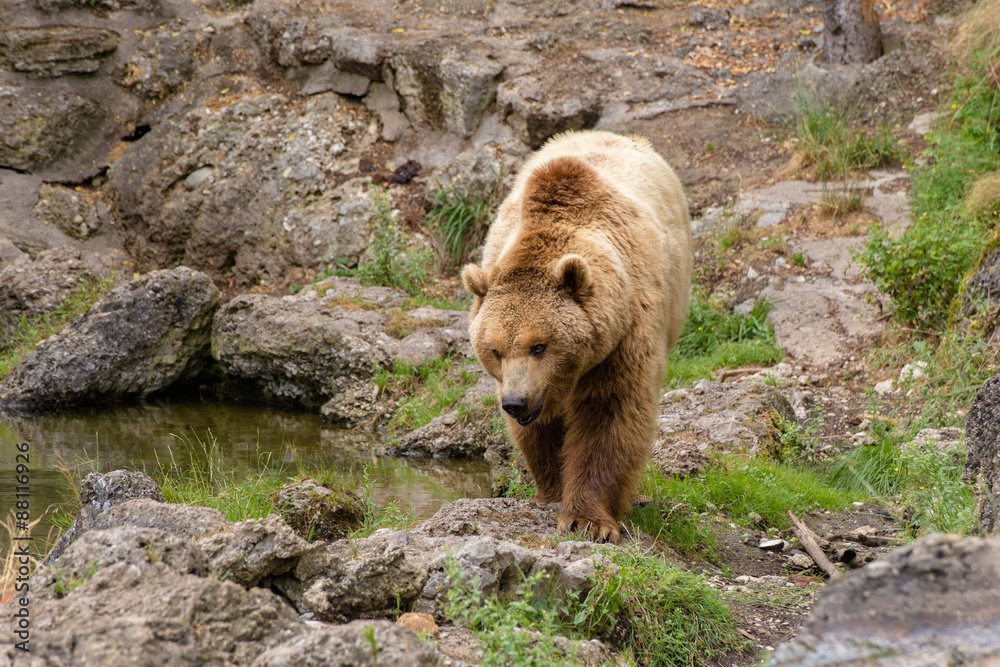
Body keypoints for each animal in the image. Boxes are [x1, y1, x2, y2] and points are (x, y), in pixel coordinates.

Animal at [462, 130, 693, 544]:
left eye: (539, 346)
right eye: (495, 351)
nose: (515, 403)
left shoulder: (626, 335)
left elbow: (610, 416)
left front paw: (588, 520)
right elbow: (540, 432)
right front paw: (550, 490)